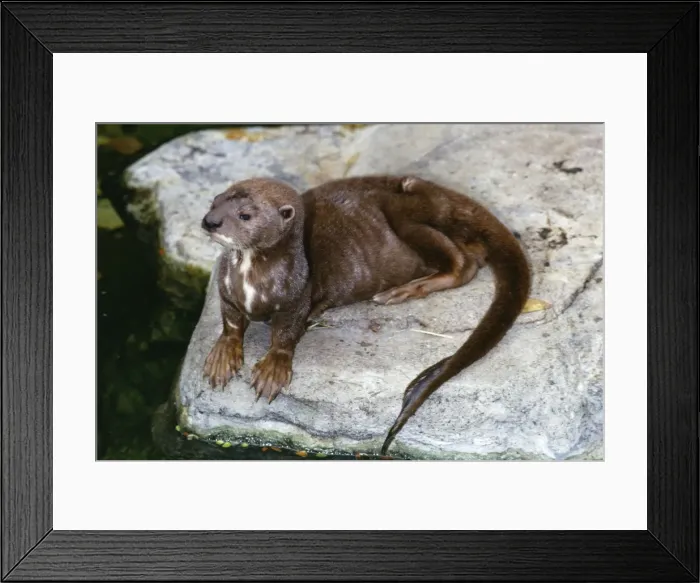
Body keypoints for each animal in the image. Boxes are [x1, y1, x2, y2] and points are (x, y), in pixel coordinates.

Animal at [200, 175, 531, 455]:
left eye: (245, 215)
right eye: (214, 201)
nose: (210, 221)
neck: (252, 285)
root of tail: (448, 196)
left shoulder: (298, 300)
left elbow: (286, 334)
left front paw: (272, 370)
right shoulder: (226, 292)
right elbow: (230, 322)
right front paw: (222, 357)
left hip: (408, 213)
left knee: (464, 265)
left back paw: (403, 291)